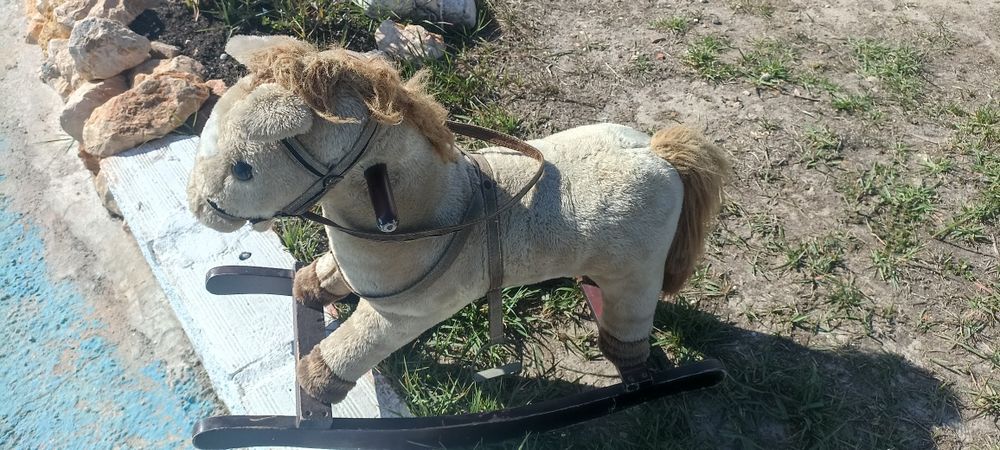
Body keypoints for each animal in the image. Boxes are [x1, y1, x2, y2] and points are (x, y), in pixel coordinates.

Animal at [187, 35, 729, 405]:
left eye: (243, 168)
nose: (196, 204)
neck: (429, 215)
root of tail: (658, 153)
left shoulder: (399, 317)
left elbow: (348, 350)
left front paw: (312, 386)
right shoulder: (352, 264)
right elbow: (323, 275)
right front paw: (305, 288)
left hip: (634, 276)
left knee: (630, 336)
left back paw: (641, 381)